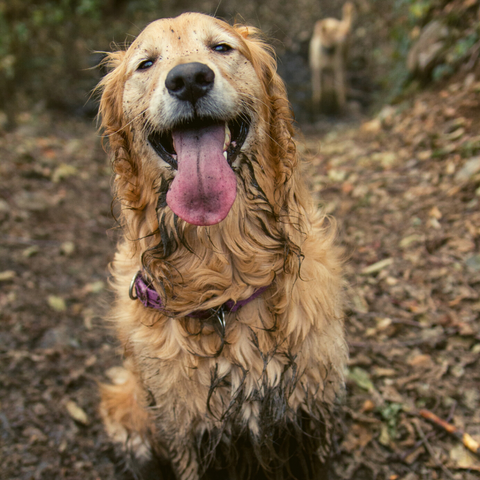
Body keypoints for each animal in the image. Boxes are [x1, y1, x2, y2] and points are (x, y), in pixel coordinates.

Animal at [96, 12, 344, 480]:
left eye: (222, 47)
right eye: (146, 63)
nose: (189, 79)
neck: (224, 268)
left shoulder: (305, 415)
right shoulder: (192, 432)